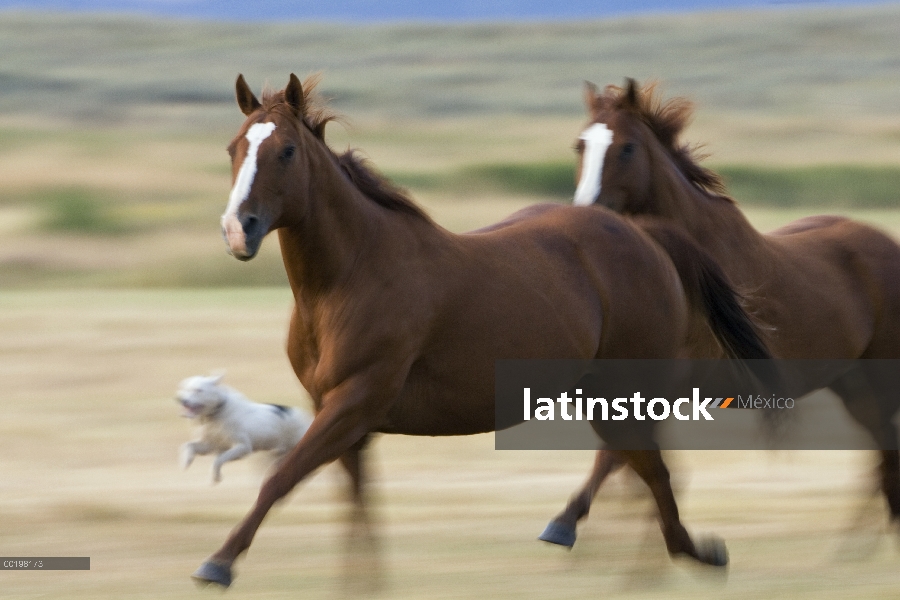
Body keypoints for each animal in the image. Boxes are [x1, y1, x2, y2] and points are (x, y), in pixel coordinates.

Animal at [176, 372, 312, 486]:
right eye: (185, 389)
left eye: (198, 390)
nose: (180, 399)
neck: (217, 413)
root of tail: (307, 417)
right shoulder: (211, 445)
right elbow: (188, 446)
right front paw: (186, 461)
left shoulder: (242, 447)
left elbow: (219, 459)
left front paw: (215, 477)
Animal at [190, 74, 768, 584]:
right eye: (233, 148)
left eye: (286, 151)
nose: (238, 230)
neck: (348, 277)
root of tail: (646, 235)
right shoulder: (339, 415)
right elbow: (359, 511)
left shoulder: (354, 402)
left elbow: (279, 480)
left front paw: (217, 564)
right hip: (601, 395)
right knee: (645, 469)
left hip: (627, 392)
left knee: (653, 472)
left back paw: (676, 551)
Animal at [544, 78, 900, 548]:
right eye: (580, 145)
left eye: (627, 148)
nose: (587, 214)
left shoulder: (667, 385)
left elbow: (620, 452)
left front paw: (565, 522)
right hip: (853, 382)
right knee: (882, 452)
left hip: (880, 377)